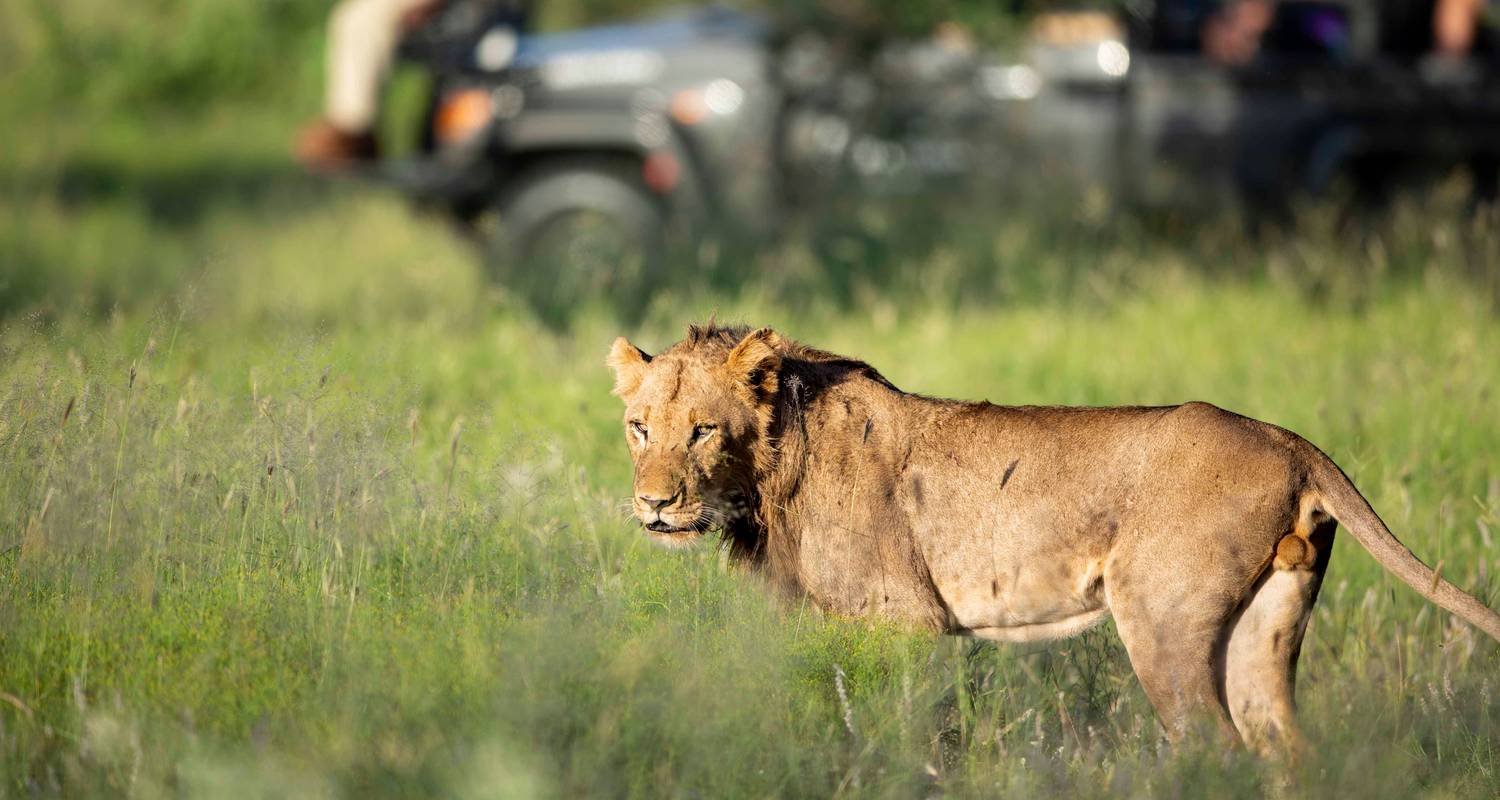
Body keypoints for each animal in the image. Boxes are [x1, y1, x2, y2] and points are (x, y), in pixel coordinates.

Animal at [600, 321, 1500, 750]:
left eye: (703, 430)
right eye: (640, 428)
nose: (654, 505)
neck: (771, 476)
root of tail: (1291, 441)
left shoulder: (907, 621)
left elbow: (904, 723)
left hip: (1162, 621)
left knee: (1216, 748)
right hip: (1266, 624)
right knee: (1282, 748)